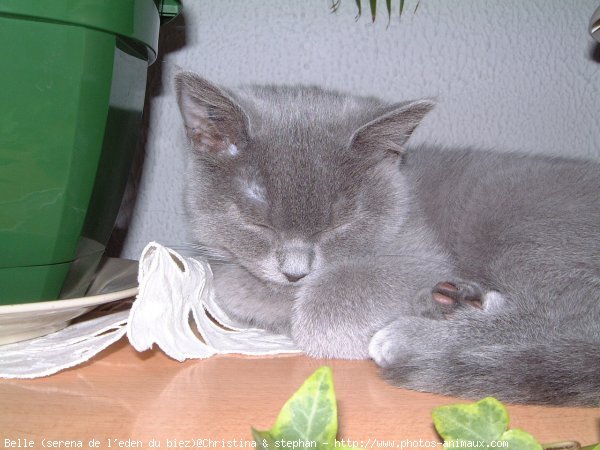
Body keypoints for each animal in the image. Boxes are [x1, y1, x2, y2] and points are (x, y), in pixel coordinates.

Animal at [175, 72, 600, 406]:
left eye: (340, 224)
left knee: (570, 311)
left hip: (524, 226)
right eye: (258, 223)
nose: (295, 272)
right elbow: (236, 290)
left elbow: (327, 307)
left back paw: (410, 336)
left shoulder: (422, 255)